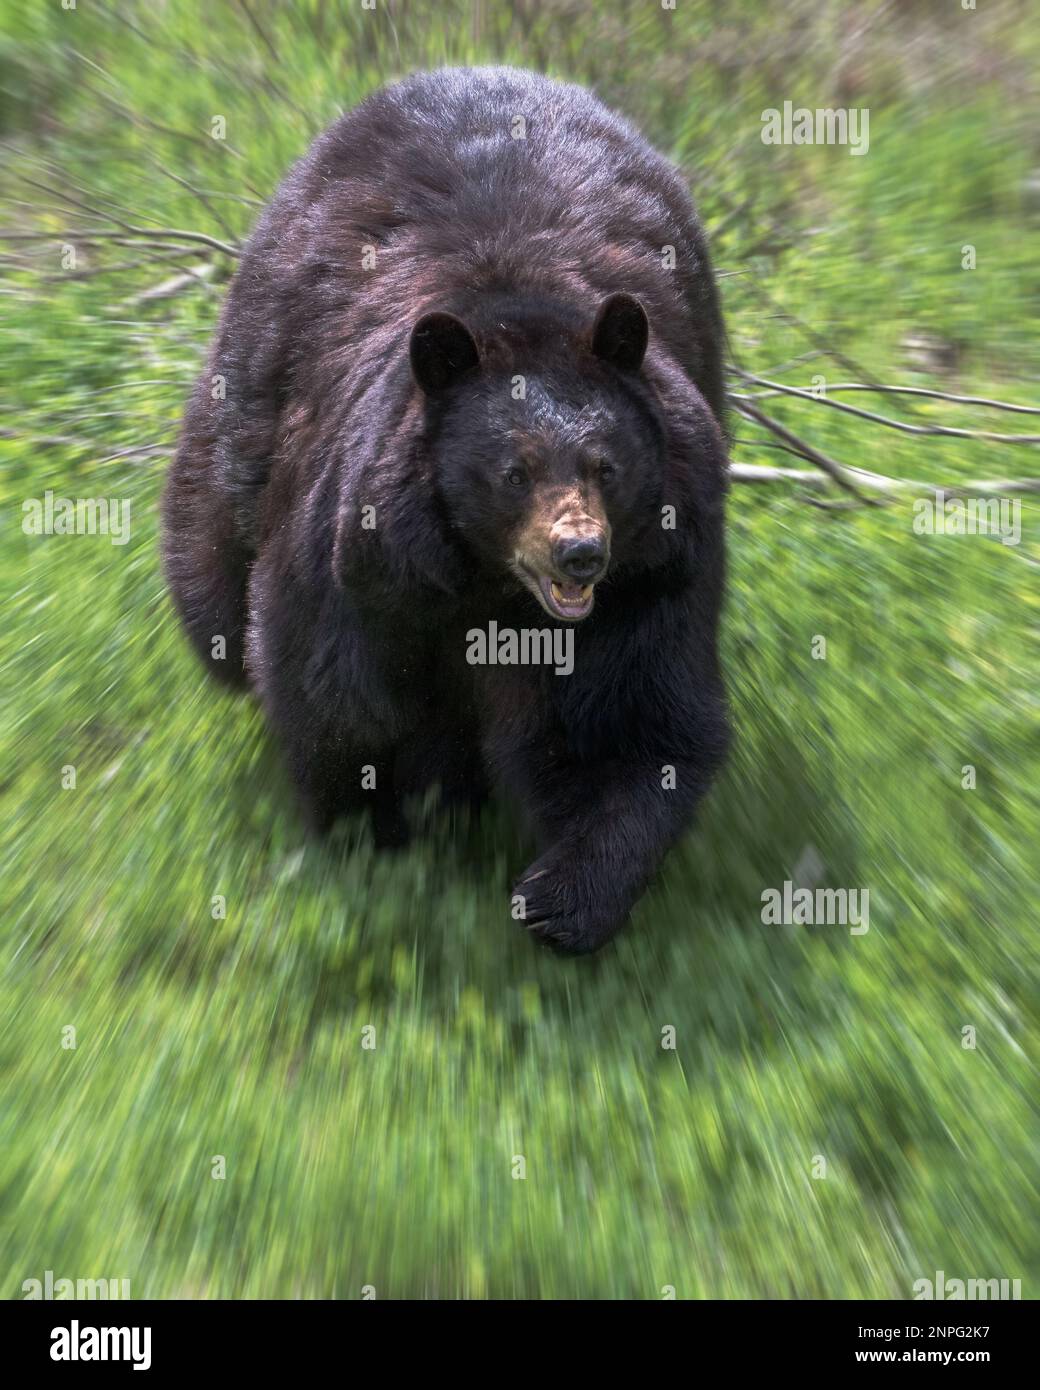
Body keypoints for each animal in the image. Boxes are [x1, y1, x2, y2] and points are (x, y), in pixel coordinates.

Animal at [162, 65, 728, 956]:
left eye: (606, 465)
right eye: (513, 472)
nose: (580, 553)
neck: (484, 588)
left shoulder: (652, 576)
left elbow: (632, 724)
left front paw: (562, 900)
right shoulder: (360, 563)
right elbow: (337, 699)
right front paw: (373, 836)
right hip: (239, 414)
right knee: (211, 576)